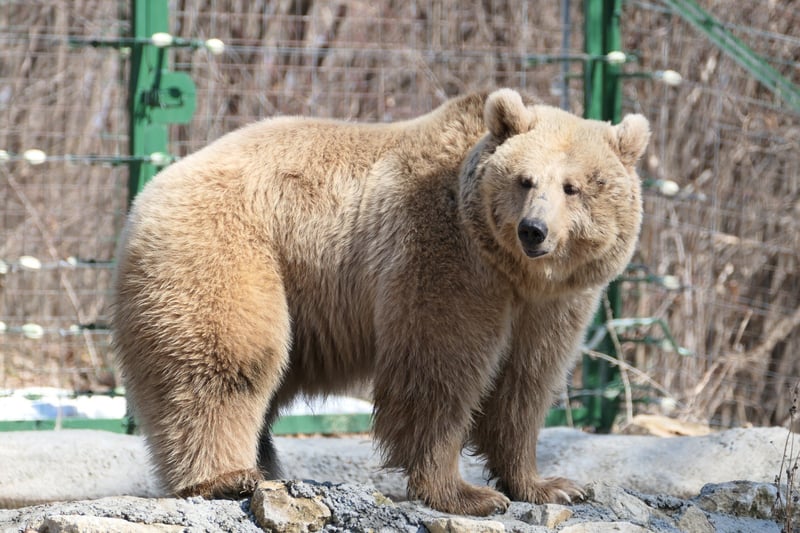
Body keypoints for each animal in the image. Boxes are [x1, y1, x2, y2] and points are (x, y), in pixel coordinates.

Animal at [112, 88, 648, 516]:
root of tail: (151, 190)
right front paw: (466, 493)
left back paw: (263, 467)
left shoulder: (553, 305)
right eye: (524, 180)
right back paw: (226, 477)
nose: (533, 230)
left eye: (574, 187)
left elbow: (526, 384)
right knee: (224, 363)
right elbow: (440, 369)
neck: (513, 272)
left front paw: (550, 485)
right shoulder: (443, 254)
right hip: (227, 247)